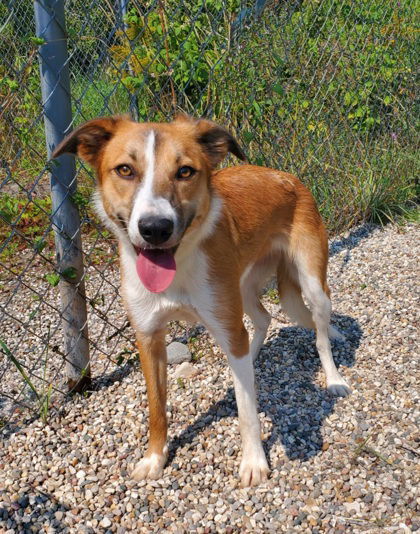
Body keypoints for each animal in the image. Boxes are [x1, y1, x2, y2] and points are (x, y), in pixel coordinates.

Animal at [54, 115, 350, 488]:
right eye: (124, 170)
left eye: (185, 171)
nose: (155, 228)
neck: (178, 267)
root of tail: (288, 176)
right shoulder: (148, 337)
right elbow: (157, 408)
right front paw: (154, 458)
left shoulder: (223, 320)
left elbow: (247, 410)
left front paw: (254, 462)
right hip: (243, 289)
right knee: (261, 322)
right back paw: (251, 356)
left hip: (310, 284)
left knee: (319, 333)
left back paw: (334, 379)